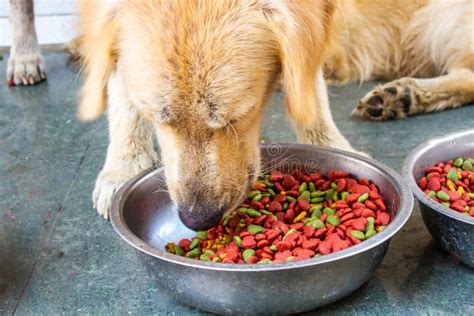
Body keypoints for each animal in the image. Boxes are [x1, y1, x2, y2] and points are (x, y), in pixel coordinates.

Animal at [78, 0, 474, 228]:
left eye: (240, 116)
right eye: (162, 119)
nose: (196, 220)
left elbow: (308, 86)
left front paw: (332, 147)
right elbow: (121, 94)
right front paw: (124, 167)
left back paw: (406, 93)